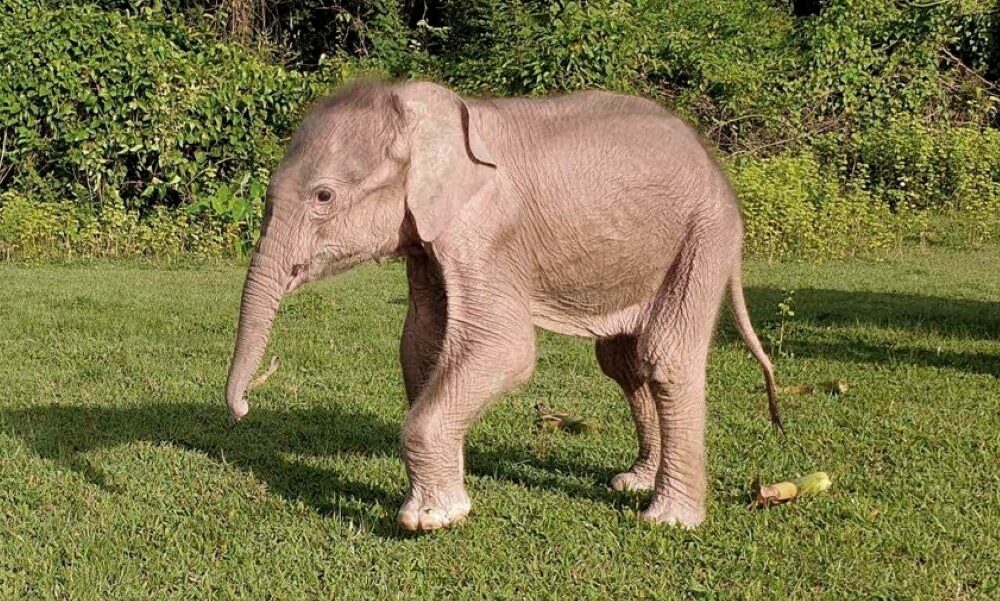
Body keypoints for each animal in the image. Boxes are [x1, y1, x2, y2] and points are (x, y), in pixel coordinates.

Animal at [227, 78, 780, 528]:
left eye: (323, 197)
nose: (244, 407)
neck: (423, 110)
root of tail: (717, 169)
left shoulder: (487, 232)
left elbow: (503, 348)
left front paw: (431, 519)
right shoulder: (429, 240)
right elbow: (421, 345)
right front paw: (446, 492)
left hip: (705, 235)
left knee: (666, 357)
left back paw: (669, 519)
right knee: (622, 361)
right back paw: (634, 482)